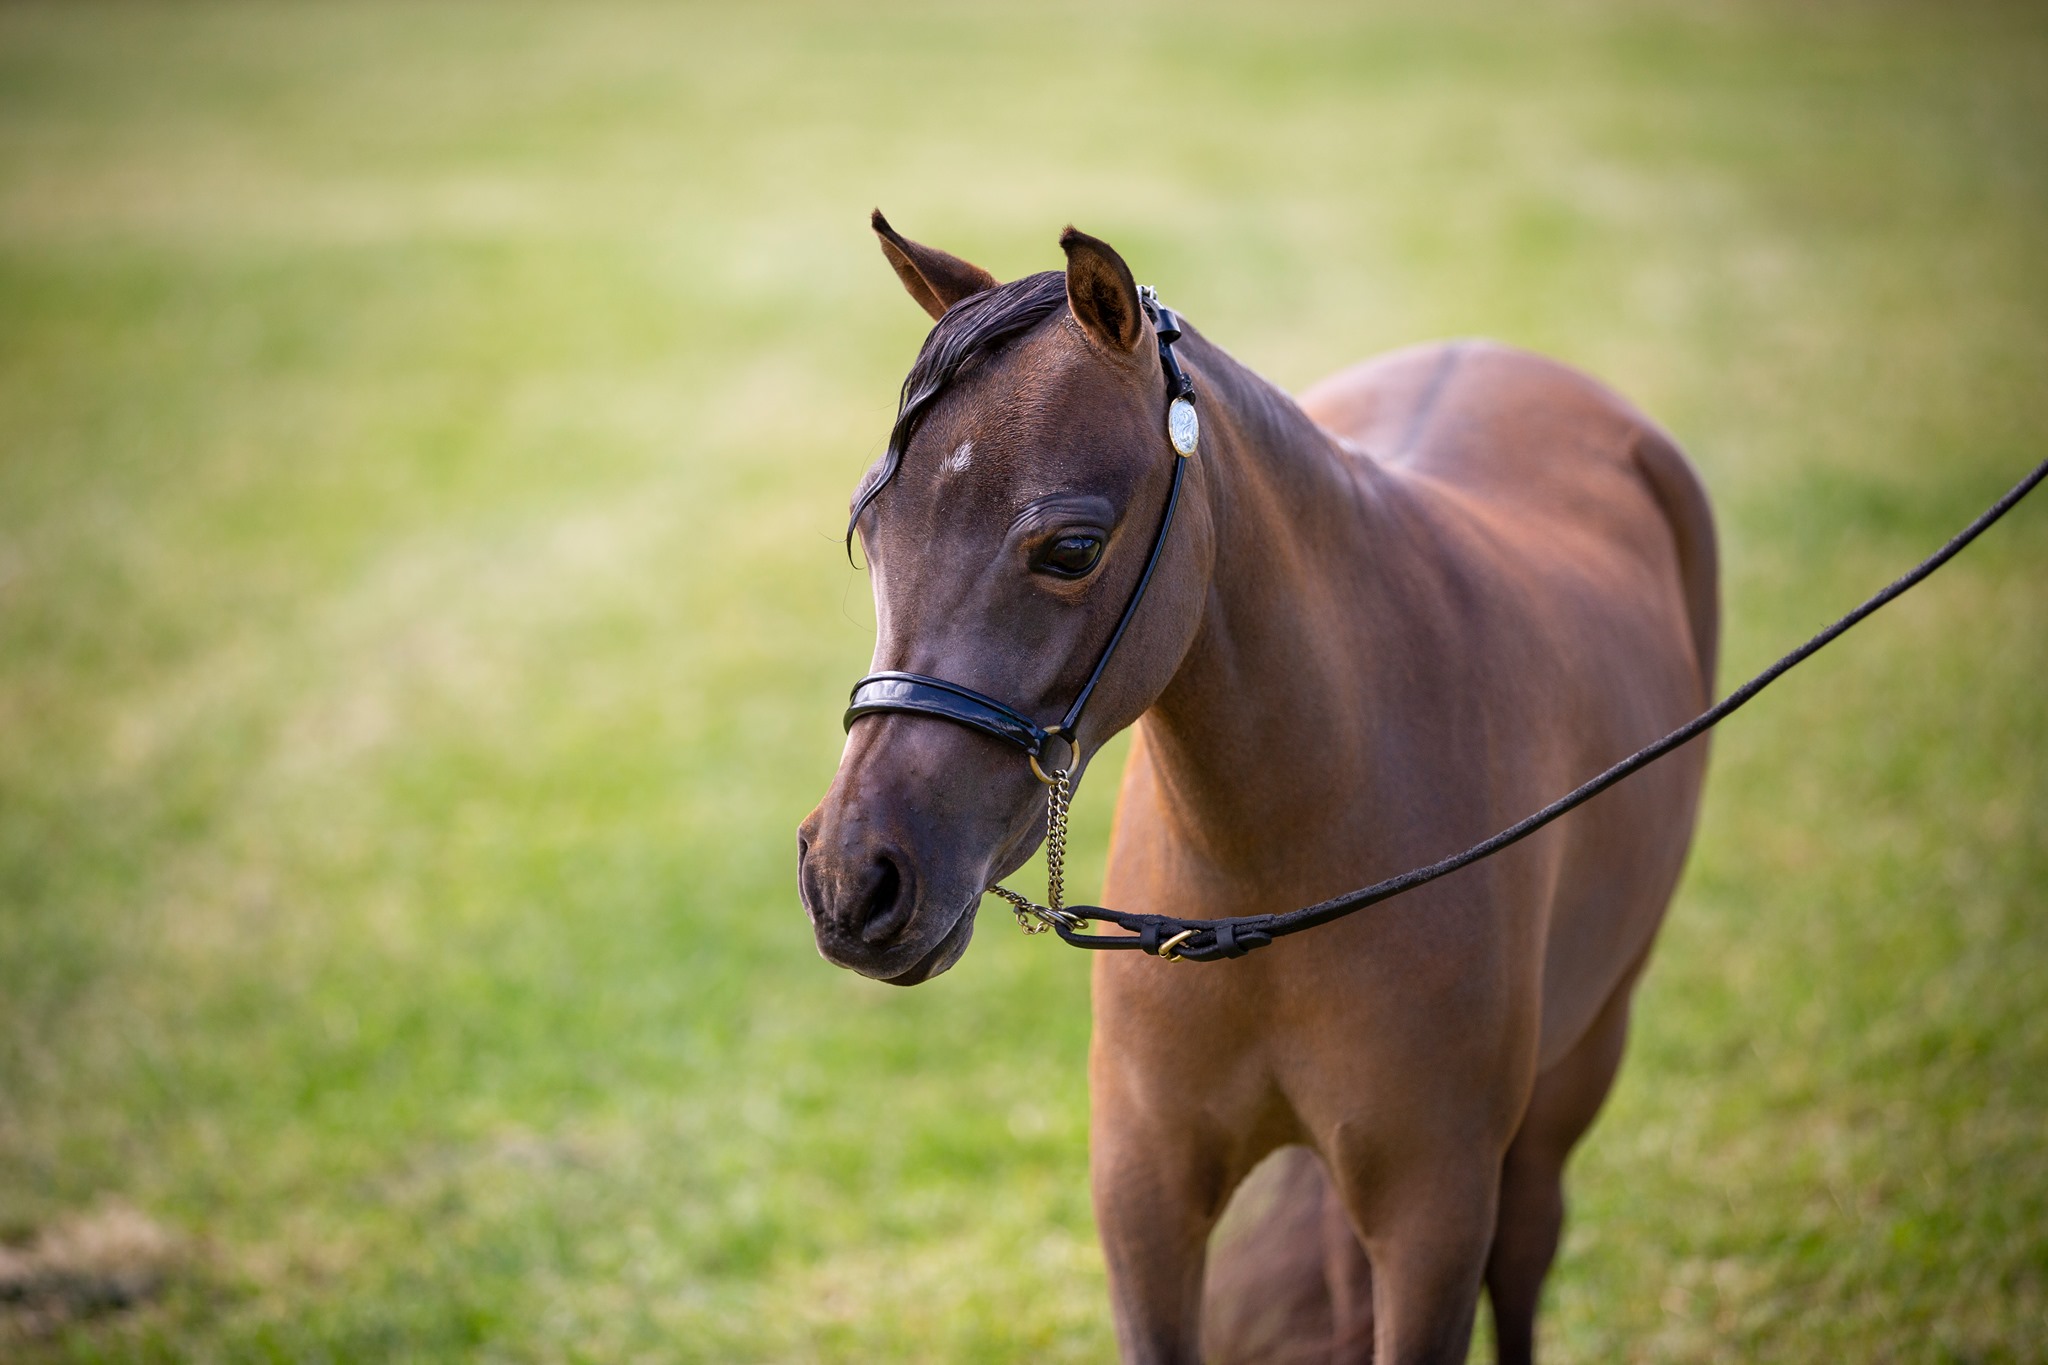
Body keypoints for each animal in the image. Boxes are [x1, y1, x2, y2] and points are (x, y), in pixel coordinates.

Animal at [797, 213, 1718, 1364]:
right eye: (867, 531)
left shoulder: (1434, 1210)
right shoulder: (1144, 1196)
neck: (1275, 858)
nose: (852, 881)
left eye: (1070, 548)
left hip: (1574, 1070)